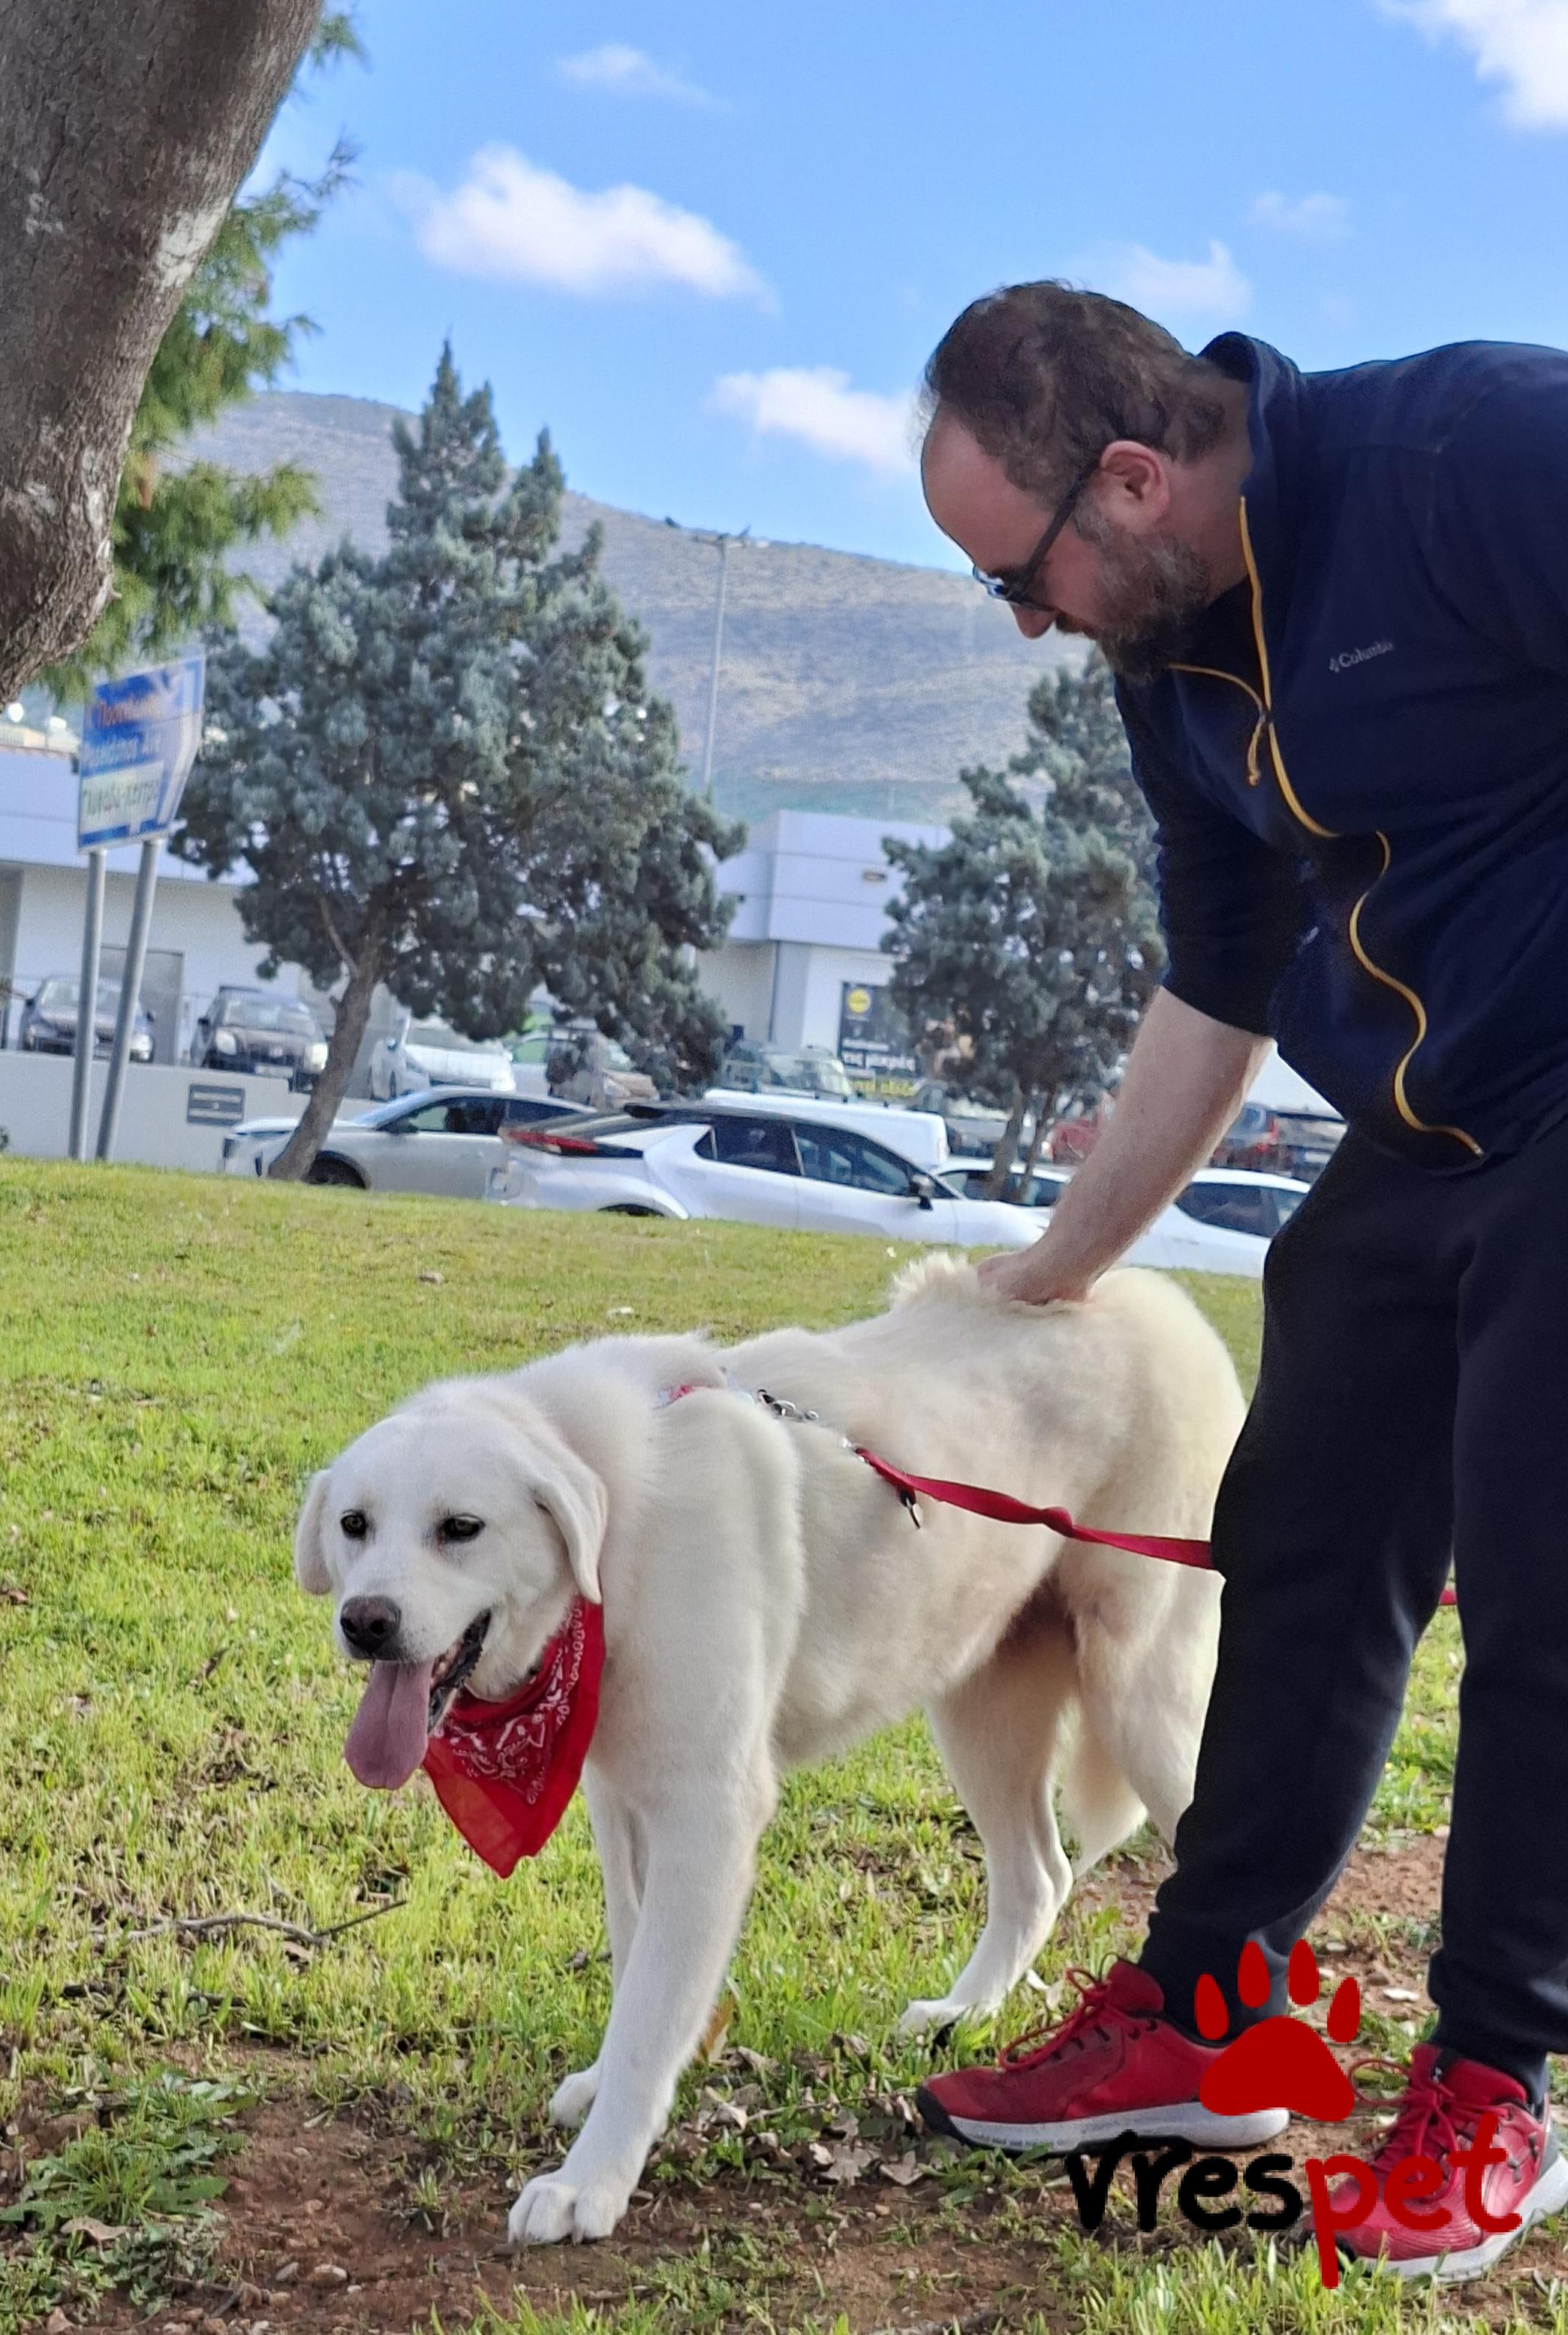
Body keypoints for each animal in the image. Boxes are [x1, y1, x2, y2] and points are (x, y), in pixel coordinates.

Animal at [294, 1257, 1243, 2245]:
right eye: (355, 1524)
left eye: (461, 1527)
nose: (366, 1621)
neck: (618, 1538)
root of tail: (1156, 1296)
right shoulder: (623, 1802)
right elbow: (635, 1969)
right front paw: (604, 2091)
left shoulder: (706, 1814)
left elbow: (650, 2011)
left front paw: (591, 2179)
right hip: (979, 1711)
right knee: (1039, 1876)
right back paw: (963, 2014)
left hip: (1143, 1704)